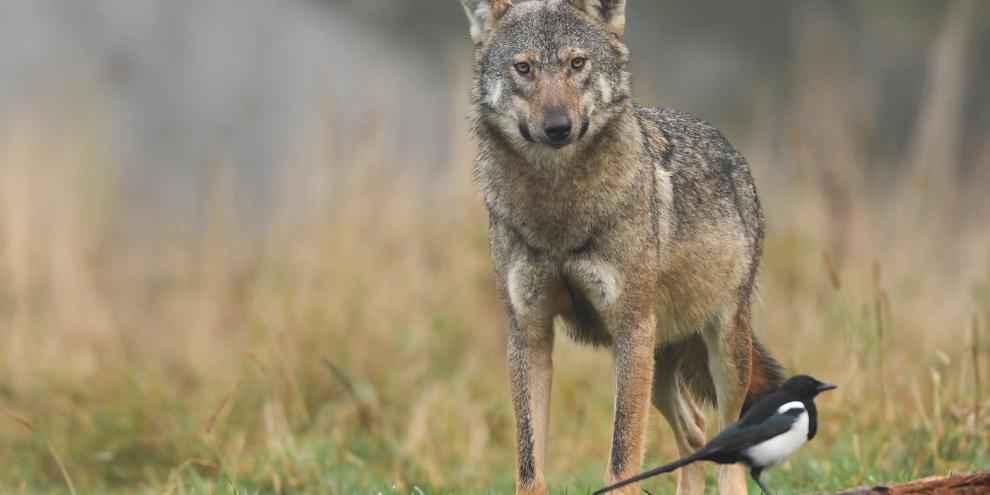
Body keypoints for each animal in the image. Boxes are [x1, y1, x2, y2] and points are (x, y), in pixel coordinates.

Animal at [460, 1, 785, 494]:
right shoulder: (528, 334)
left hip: (716, 348)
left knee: (725, 442)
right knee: (694, 430)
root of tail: (732, 151)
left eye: (577, 64)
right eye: (524, 68)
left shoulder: (631, 328)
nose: (558, 127)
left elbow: (621, 460)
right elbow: (529, 464)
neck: (558, 214)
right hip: (657, 361)